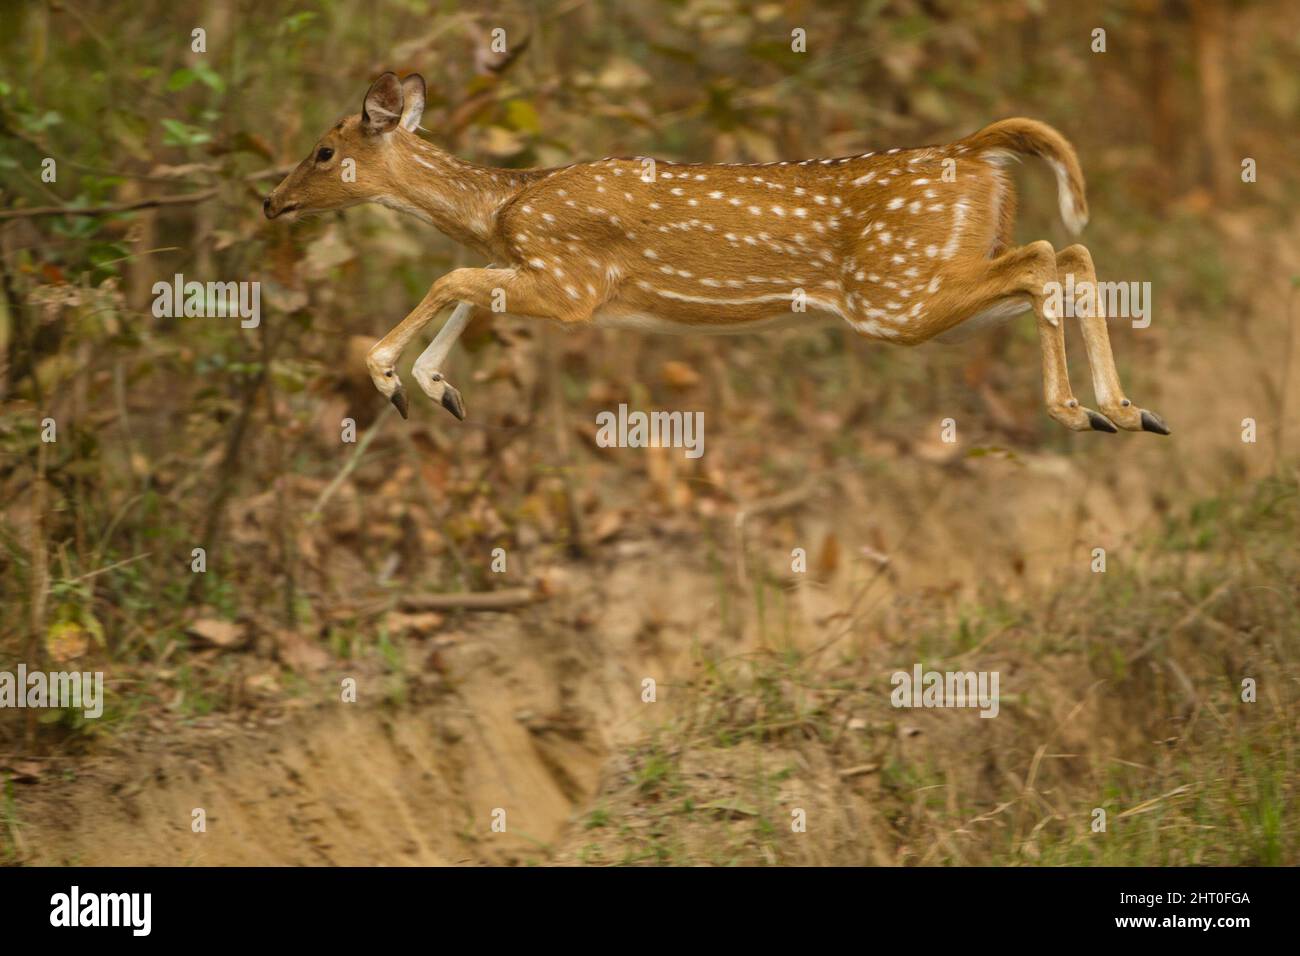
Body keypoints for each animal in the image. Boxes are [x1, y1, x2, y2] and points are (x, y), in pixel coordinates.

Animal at [263, 70, 1170, 437]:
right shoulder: (543, 275)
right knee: (1068, 255)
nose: (270, 200)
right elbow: (464, 285)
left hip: (895, 294)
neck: (503, 205)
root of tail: (979, 152)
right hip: (931, 286)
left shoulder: (574, 283)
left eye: (322, 150)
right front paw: (436, 387)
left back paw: (1078, 411)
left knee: (1049, 254)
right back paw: (1128, 410)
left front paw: (391, 379)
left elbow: (452, 274)